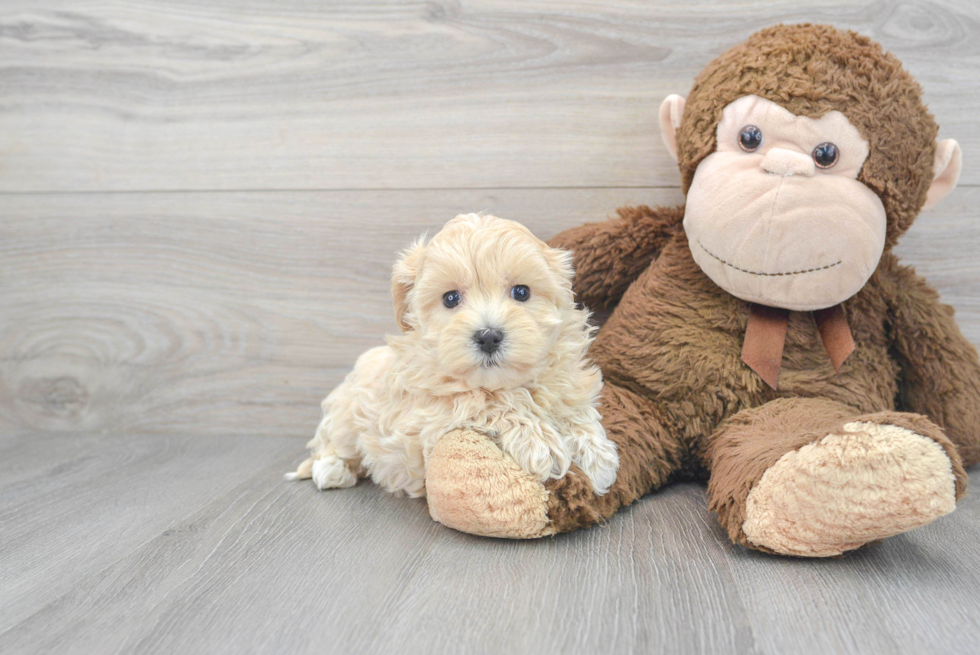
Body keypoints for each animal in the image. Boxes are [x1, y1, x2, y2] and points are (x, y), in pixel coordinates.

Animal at [288, 215, 616, 498]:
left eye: (521, 292)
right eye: (450, 298)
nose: (488, 336)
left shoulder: (565, 380)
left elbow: (572, 406)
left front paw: (596, 452)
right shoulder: (427, 414)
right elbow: (488, 401)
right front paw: (541, 441)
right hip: (345, 415)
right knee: (331, 444)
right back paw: (331, 469)